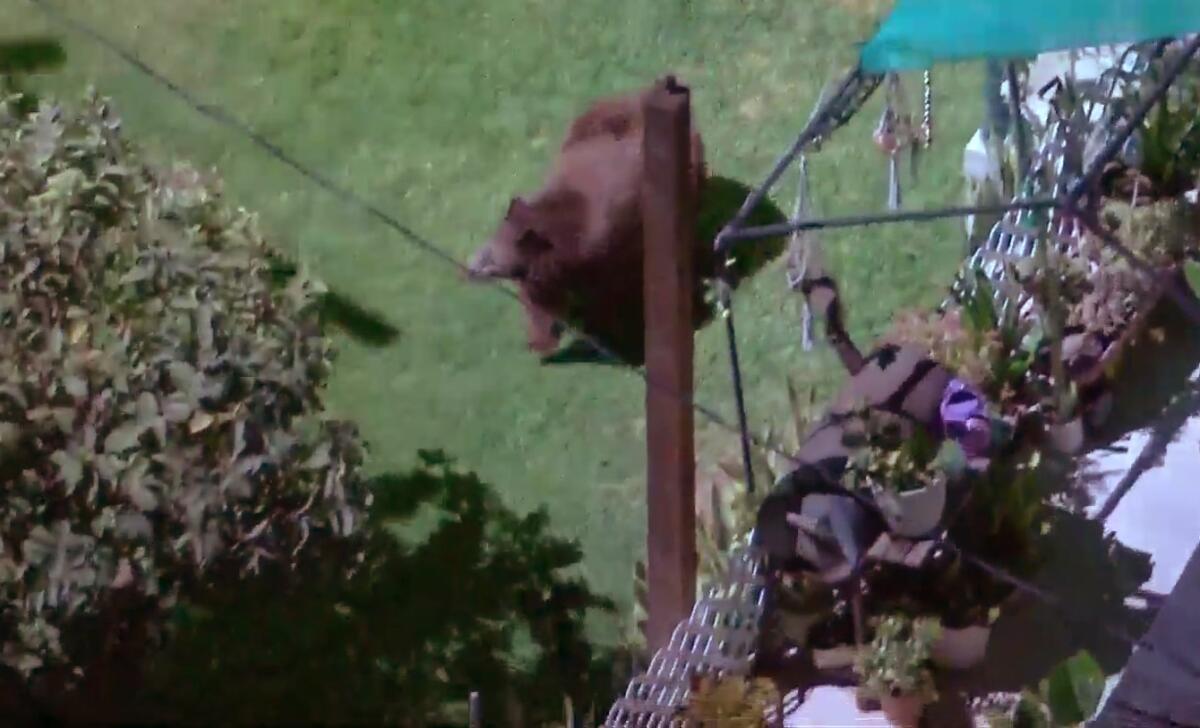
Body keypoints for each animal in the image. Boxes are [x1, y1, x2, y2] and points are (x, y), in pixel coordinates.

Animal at [465, 87, 710, 362]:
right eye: (487, 247)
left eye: (489, 256)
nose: (468, 267)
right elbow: (542, 299)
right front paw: (542, 341)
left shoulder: (608, 245)